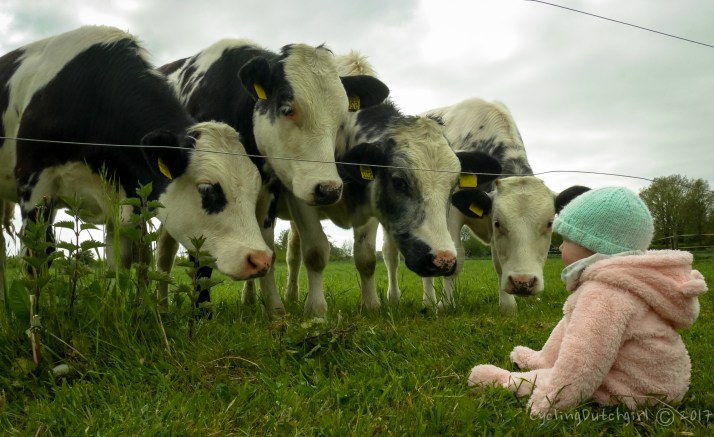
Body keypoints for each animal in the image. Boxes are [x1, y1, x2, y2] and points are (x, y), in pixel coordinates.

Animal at [0, 26, 272, 363]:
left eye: (255, 189)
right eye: (207, 188)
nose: (261, 259)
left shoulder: (126, 200)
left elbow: (123, 264)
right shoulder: (34, 186)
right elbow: (38, 259)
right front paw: (36, 333)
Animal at [155, 38, 390, 315]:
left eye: (341, 119)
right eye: (287, 109)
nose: (329, 189)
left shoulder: (268, 192)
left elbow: (268, 250)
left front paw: (275, 309)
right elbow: (201, 253)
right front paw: (202, 312)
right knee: (163, 252)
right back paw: (160, 304)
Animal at [245, 52, 502, 317]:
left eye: (452, 187)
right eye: (398, 182)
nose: (444, 260)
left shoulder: (369, 206)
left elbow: (366, 258)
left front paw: (370, 305)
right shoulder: (303, 197)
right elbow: (315, 252)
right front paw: (316, 309)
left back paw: (289, 296)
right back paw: (254, 298)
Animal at [384, 98, 587, 313]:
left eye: (549, 224)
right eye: (499, 223)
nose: (523, 282)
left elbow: (498, 261)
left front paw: (507, 305)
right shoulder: (452, 214)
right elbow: (457, 255)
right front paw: (446, 303)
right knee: (392, 256)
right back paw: (413, 300)